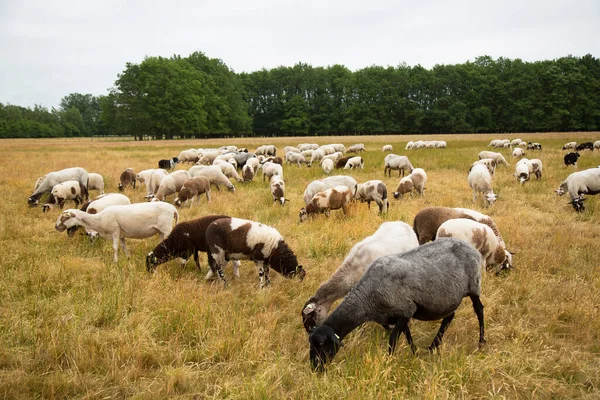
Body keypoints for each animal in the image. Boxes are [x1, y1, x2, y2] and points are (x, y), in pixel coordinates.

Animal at [308, 238, 486, 372]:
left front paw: (389, 363)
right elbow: (408, 336)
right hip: (449, 297)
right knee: (449, 317)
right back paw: (433, 346)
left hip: (474, 285)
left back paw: (481, 342)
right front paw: (415, 354)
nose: (316, 369)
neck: (368, 298)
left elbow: (393, 341)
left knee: (479, 311)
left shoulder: (406, 310)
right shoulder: (399, 314)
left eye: (322, 344)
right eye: (311, 343)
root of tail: (472, 248)